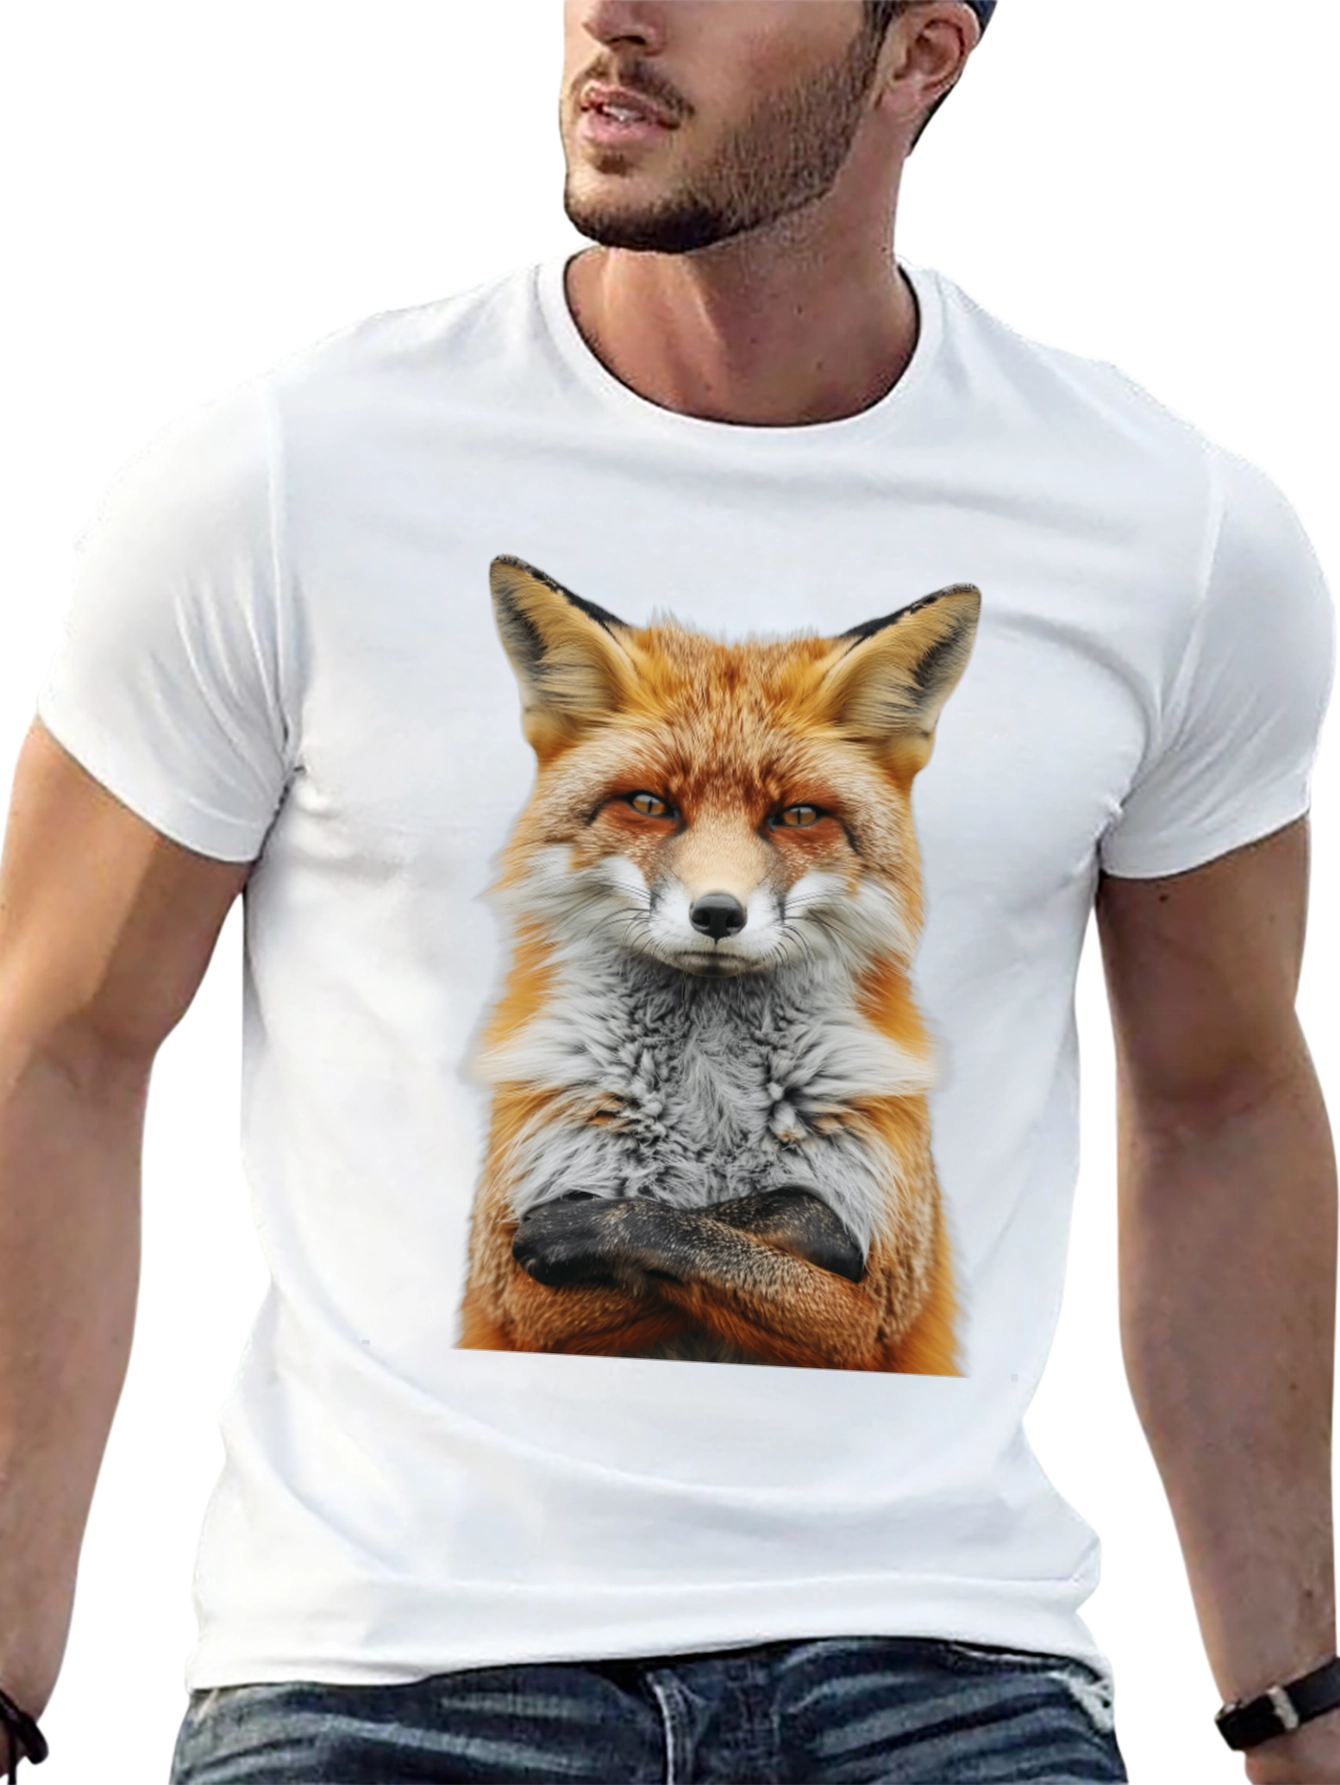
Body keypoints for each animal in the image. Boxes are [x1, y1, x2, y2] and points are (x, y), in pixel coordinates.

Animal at [454, 553, 981, 1374]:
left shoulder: (876, 1307)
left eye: (797, 815)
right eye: (650, 804)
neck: (709, 1100)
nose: (718, 915)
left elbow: (721, 1231)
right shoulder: (519, 1298)